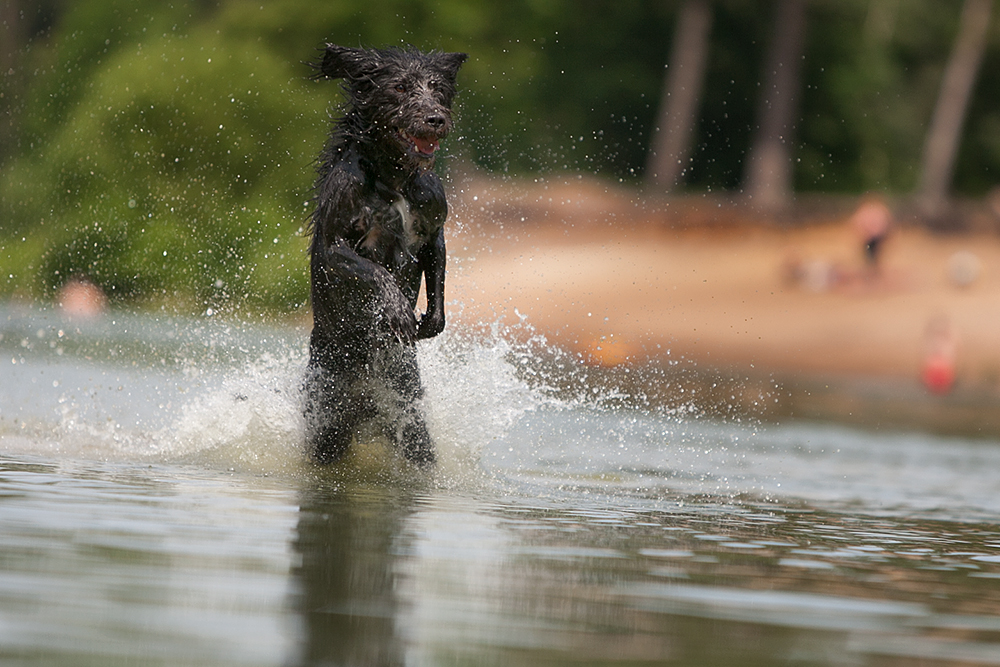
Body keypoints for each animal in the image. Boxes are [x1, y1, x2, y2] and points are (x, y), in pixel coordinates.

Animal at [300, 44, 468, 468]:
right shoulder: (335, 242)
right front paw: (397, 311)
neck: (395, 178)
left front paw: (432, 320)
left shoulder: (434, 228)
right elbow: (378, 272)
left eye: (437, 88)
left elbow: (435, 268)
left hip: (406, 416)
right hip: (326, 417)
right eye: (400, 87)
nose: (435, 118)